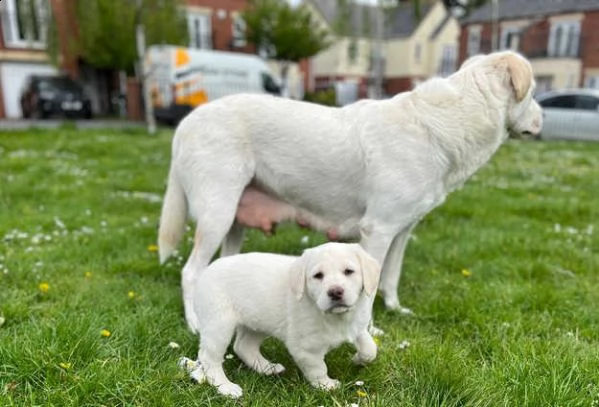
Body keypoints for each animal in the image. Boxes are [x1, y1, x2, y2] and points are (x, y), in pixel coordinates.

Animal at [159, 51, 544, 326]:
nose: (543, 119)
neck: (448, 122)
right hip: (218, 213)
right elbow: (368, 289)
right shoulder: (377, 230)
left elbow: (390, 276)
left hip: (235, 220)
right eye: (535, 93)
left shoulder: (401, 231)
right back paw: (195, 323)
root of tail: (186, 122)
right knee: (190, 273)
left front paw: (396, 310)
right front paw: (368, 329)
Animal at [189, 242, 380, 398]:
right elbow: (318, 368)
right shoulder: (305, 349)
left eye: (349, 271)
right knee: (209, 357)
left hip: (258, 323)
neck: (337, 317)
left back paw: (268, 368)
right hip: (218, 325)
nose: (335, 292)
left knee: (243, 346)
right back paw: (226, 387)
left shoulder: (357, 325)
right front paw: (326, 385)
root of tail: (206, 271)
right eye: (318, 275)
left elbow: (370, 349)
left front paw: (358, 359)